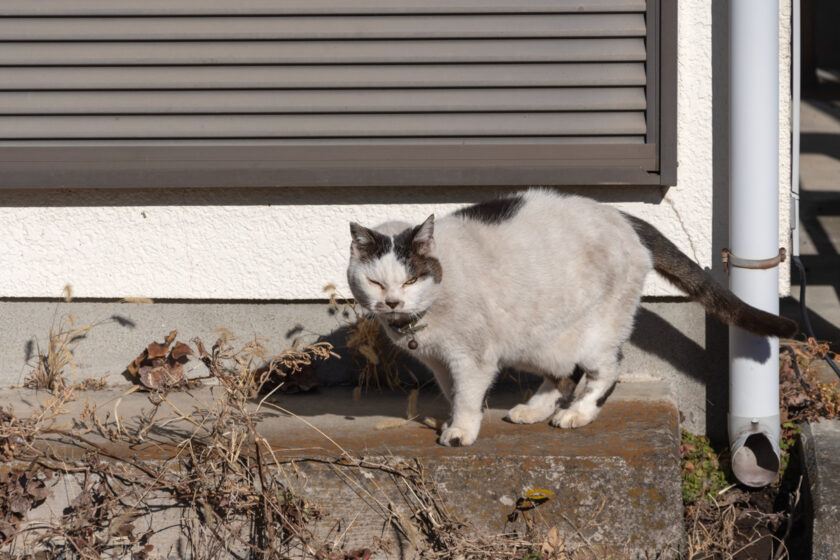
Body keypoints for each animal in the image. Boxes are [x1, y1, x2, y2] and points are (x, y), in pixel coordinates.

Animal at [344, 190, 796, 448]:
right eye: (375, 282)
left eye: (411, 278)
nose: (392, 302)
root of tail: (622, 216)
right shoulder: (439, 361)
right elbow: (452, 392)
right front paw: (455, 417)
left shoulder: (472, 358)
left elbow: (468, 396)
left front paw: (460, 430)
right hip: (539, 336)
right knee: (563, 373)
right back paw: (534, 409)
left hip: (596, 330)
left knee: (606, 369)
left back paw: (576, 414)